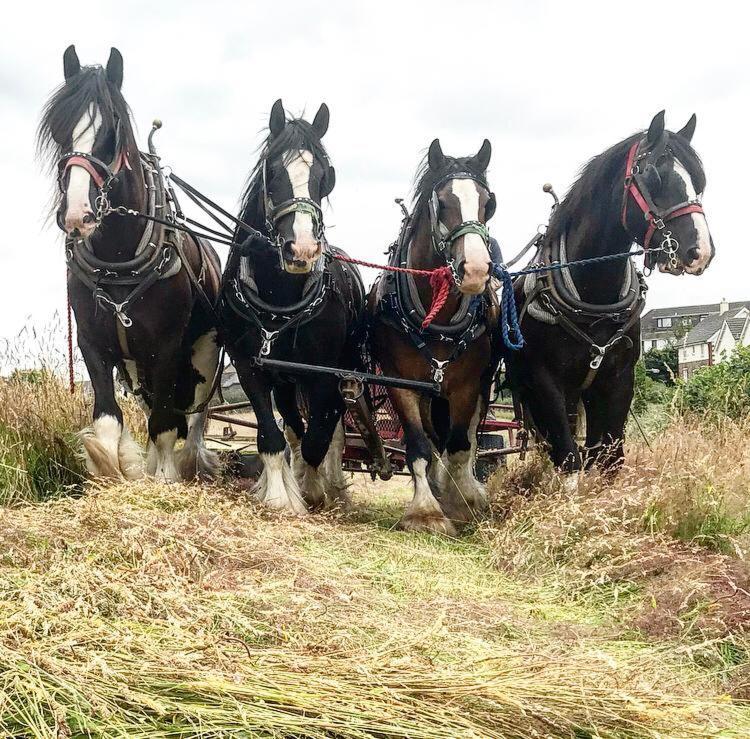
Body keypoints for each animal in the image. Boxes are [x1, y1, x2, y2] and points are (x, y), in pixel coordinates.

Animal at [39, 47, 220, 486]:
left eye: (112, 129)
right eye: (59, 128)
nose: (78, 214)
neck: (119, 261)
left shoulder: (168, 346)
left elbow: (166, 423)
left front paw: (166, 479)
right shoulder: (93, 341)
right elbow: (108, 419)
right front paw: (111, 466)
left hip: (203, 355)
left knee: (194, 416)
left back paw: (188, 463)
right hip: (138, 365)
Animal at [220, 99, 368, 516]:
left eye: (325, 174)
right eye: (271, 170)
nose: (301, 248)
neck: (280, 299)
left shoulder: (323, 374)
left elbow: (320, 436)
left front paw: (315, 491)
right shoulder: (249, 364)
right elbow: (273, 435)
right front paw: (278, 496)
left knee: (330, 430)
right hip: (286, 382)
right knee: (293, 426)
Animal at [368, 139, 500, 536]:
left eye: (488, 203)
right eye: (442, 202)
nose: (476, 270)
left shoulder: (467, 385)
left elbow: (458, 445)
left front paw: (462, 503)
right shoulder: (401, 382)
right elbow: (418, 445)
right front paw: (425, 512)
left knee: (464, 439)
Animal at [506, 112, 716, 476]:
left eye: (697, 181)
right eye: (654, 175)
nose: (699, 250)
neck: (594, 300)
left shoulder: (617, 380)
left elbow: (608, 457)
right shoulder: (545, 383)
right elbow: (569, 459)